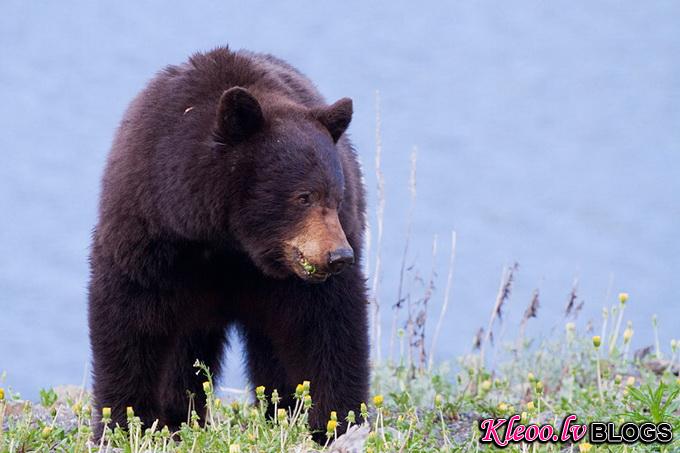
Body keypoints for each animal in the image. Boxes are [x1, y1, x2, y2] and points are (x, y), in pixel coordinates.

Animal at [89, 47, 370, 440]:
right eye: (303, 197)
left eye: (336, 197)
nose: (339, 256)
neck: (230, 242)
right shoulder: (153, 229)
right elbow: (130, 317)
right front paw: (128, 424)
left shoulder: (297, 281)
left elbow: (329, 325)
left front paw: (336, 422)